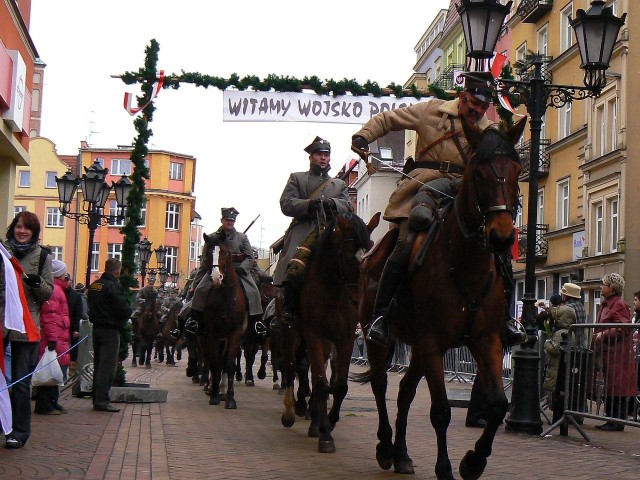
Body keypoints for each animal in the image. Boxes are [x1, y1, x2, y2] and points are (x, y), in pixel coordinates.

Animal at [200, 232, 248, 408]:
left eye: (225, 253)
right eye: (207, 254)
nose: (216, 277)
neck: (225, 299)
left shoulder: (234, 334)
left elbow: (229, 364)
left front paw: (230, 398)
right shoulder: (211, 334)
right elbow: (215, 363)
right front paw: (214, 395)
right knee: (210, 359)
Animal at [288, 211, 378, 454]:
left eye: (371, 252)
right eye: (348, 255)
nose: (359, 300)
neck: (332, 291)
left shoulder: (344, 338)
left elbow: (339, 385)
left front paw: (330, 419)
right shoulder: (314, 335)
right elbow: (320, 383)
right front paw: (325, 434)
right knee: (296, 367)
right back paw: (298, 409)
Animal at [358, 117, 528, 480]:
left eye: (516, 169)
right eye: (478, 172)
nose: (502, 236)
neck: (465, 262)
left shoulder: (486, 340)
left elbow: (498, 405)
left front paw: (474, 461)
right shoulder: (433, 340)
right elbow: (441, 411)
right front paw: (446, 468)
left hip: (419, 350)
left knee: (405, 393)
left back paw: (402, 454)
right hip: (384, 338)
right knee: (380, 385)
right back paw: (385, 447)